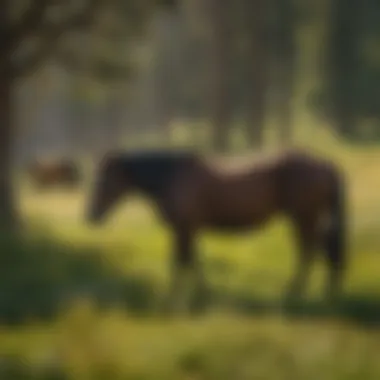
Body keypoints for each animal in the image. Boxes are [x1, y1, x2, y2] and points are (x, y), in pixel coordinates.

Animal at [86, 148, 348, 312]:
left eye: (105, 180)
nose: (91, 215)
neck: (174, 177)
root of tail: (327, 166)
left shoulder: (184, 228)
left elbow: (180, 262)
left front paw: (172, 298)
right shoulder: (188, 230)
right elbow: (193, 261)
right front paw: (202, 294)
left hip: (304, 217)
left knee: (309, 251)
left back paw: (295, 292)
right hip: (308, 219)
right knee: (322, 251)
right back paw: (326, 292)